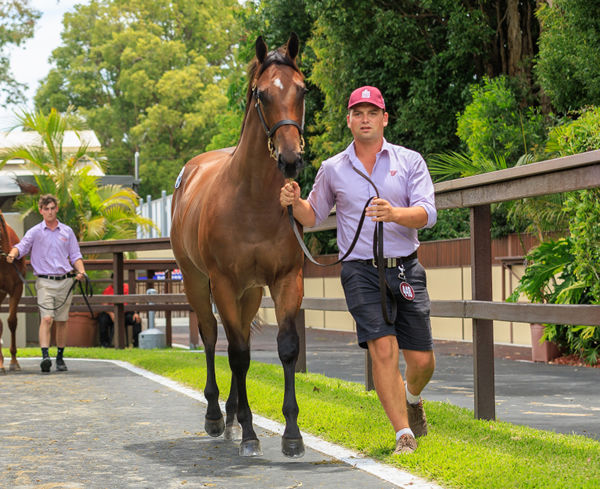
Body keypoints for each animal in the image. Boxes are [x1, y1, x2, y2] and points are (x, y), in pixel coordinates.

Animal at [171, 32, 308, 456]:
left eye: (303, 89)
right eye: (262, 94)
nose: (291, 159)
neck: (254, 200)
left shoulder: (286, 279)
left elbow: (286, 348)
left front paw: (292, 434)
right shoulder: (224, 284)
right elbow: (237, 354)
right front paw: (249, 433)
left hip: (250, 292)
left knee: (241, 337)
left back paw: (231, 414)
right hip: (199, 282)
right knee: (213, 338)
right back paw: (217, 416)